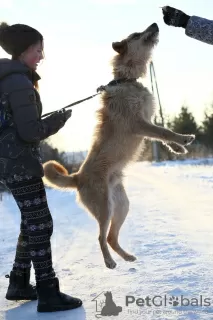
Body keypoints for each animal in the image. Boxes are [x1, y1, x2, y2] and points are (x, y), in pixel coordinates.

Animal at [42, 22, 196, 268]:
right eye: (136, 35)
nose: (155, 24)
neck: (127, 80)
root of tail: (78, 177)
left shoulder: (147, 122)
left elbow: (162, 134)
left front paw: (178, 148)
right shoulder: (138, 124)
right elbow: (164, 131)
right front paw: (183, 140)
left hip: (122, 205)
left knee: (111, 237)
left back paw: (126, 257)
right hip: (105, 207)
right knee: (101, 237)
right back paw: (109, 262)